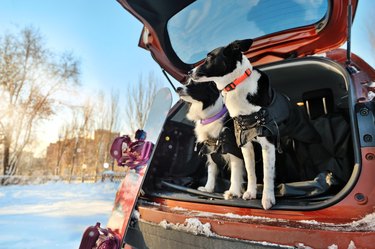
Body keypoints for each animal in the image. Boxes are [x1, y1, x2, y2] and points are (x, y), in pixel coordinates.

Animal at [189, 39, 322, 210]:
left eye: (209, 57)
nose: (188, 72)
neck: (236, 85)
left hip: (302, 145)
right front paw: (250, 193)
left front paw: (267, 199)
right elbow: (250, 171)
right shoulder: (245, 143)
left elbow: (267, 174)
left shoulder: (268, 144)